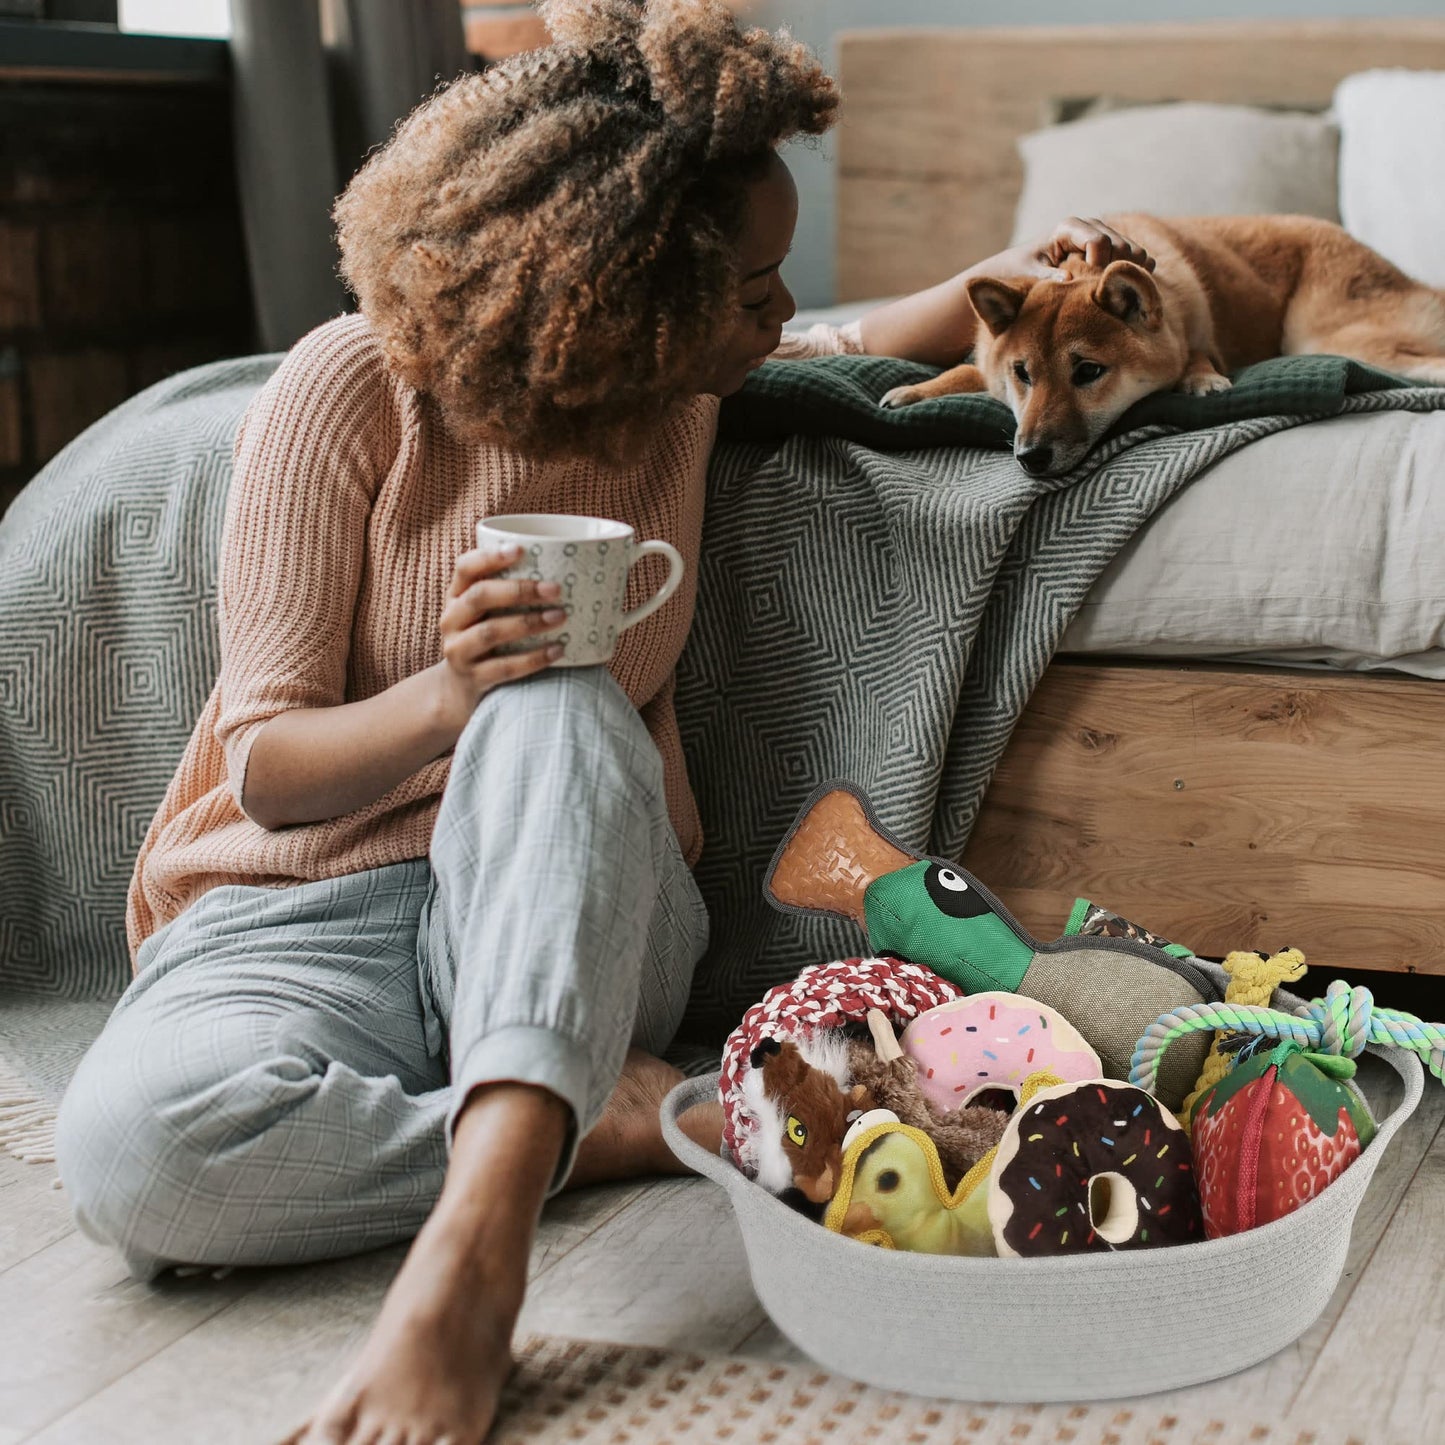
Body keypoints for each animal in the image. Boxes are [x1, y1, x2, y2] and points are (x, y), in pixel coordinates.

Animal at [872, 213, 1445, 476]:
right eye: (1023, 374)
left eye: (1088, 372)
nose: (1030, 457)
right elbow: (966, 372)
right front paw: (916, 390)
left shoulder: (1196, 329)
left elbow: (1197, 352)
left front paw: (1202, 376)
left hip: (1322, 335)